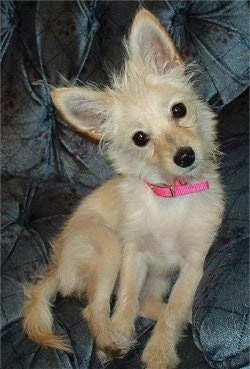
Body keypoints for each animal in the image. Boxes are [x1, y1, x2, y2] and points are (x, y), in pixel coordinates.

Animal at [23, 8, 224, 368]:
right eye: (140, 139)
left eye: (179, 110)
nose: (185, 156)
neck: (171, 196)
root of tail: (56, 270)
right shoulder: (133, 256)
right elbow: (127, 299)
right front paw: (123, 332)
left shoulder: (193, 264)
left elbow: (173, 308)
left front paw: (159, 350)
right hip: (108, 245)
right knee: (95, 309)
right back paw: (110, 340)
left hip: (155, 276)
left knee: (154, 305)